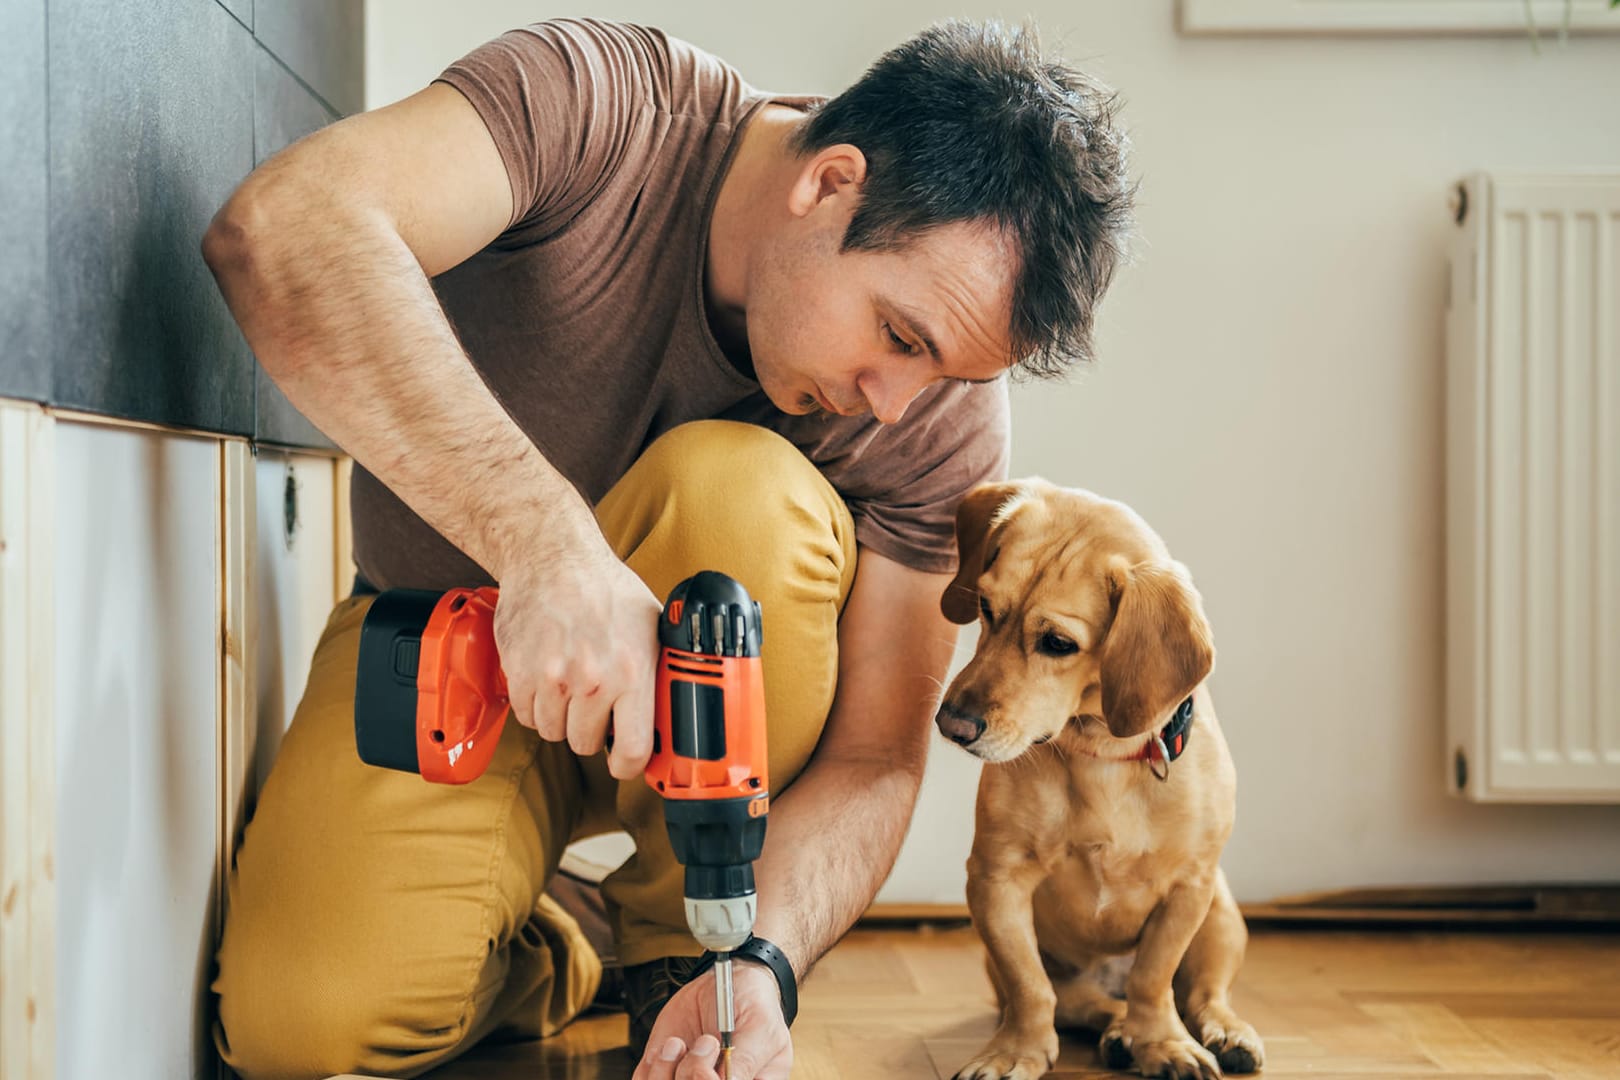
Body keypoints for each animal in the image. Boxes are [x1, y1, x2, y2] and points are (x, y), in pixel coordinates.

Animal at [939, 482, 1263, 1080]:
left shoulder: (1189, 889)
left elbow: (1153, 979)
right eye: (985, 608)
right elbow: (1030, 987)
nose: (951, 724)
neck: (1101, 756)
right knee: (1090, 1004)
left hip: (1222, 917)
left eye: (1058, 643)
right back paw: (1117, 1034)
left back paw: (1222, 1032)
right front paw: (1014, 1050)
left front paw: (1163, 1042)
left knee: (1202, 994)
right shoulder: (996, 880)